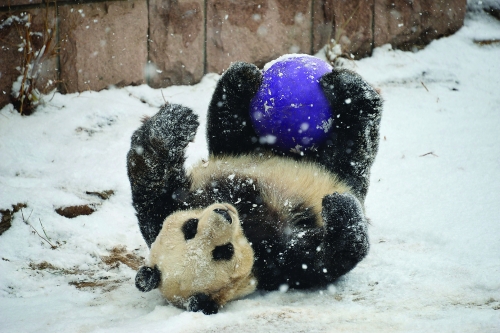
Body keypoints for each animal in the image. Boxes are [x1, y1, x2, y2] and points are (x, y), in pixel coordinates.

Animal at [126, 61, 382, 314]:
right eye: (223, 251)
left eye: (190, 226)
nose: (223, 214)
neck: (245, 222)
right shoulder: (275, 264)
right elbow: (328, 257)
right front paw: (338, 207)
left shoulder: (175, 205)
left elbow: (152, 186)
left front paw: (169, 127)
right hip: (346, 167)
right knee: (354, 143)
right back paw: (352, 91)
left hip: (244, 151)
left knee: (229, 126)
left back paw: (242, 77)